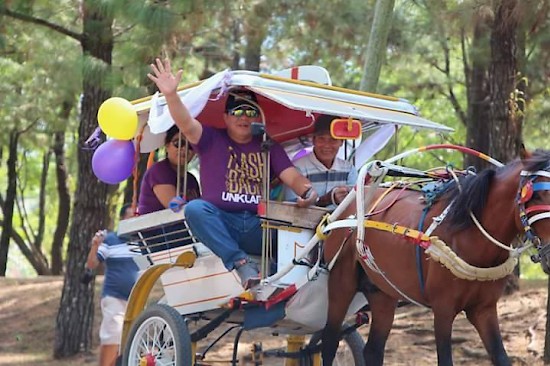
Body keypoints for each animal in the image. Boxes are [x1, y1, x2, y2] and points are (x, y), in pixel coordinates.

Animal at [322, 149, 550, 366]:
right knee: (329, 342)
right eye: (536, 196)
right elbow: (445, 359)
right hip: (341, 283)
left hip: (381, 291)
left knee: (372, 350)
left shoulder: (484, 309)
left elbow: (501, 357)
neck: (469, 233)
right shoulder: (443, 309)